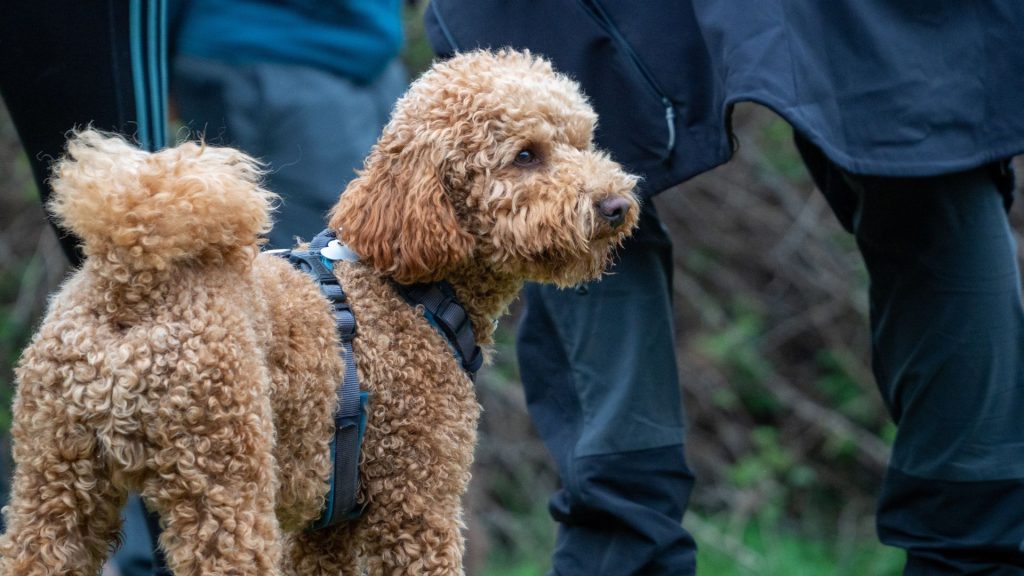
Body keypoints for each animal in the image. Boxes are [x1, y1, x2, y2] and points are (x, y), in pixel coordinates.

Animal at [2, 50, 638, 573]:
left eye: (583, 140)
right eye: (526, 155)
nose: (617, 205)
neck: (407, 289)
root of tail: (130, 285)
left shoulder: (322, 527)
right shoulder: (416, 502)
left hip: (53, 481)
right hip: (224, 483)